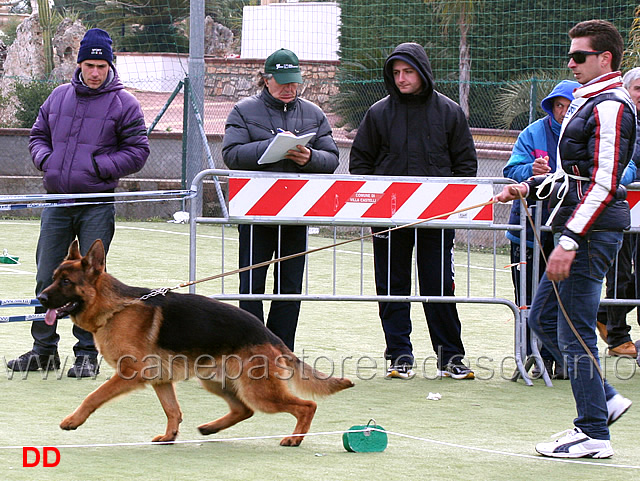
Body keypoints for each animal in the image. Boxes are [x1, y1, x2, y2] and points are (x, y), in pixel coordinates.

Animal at [38, 238, 356, 444]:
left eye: (66, 282)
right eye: (54, 277)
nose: (40, 298)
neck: (116, 308)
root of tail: (271, 336)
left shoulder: (129, 374)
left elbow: (93, 396)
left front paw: (73, 420)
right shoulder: (161, 380)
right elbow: (172, 410)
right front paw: (170, 436)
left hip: (258, 391)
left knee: (306, 406)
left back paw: (294, 438)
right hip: (216, 382)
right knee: (244, 410)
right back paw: (211, 429)